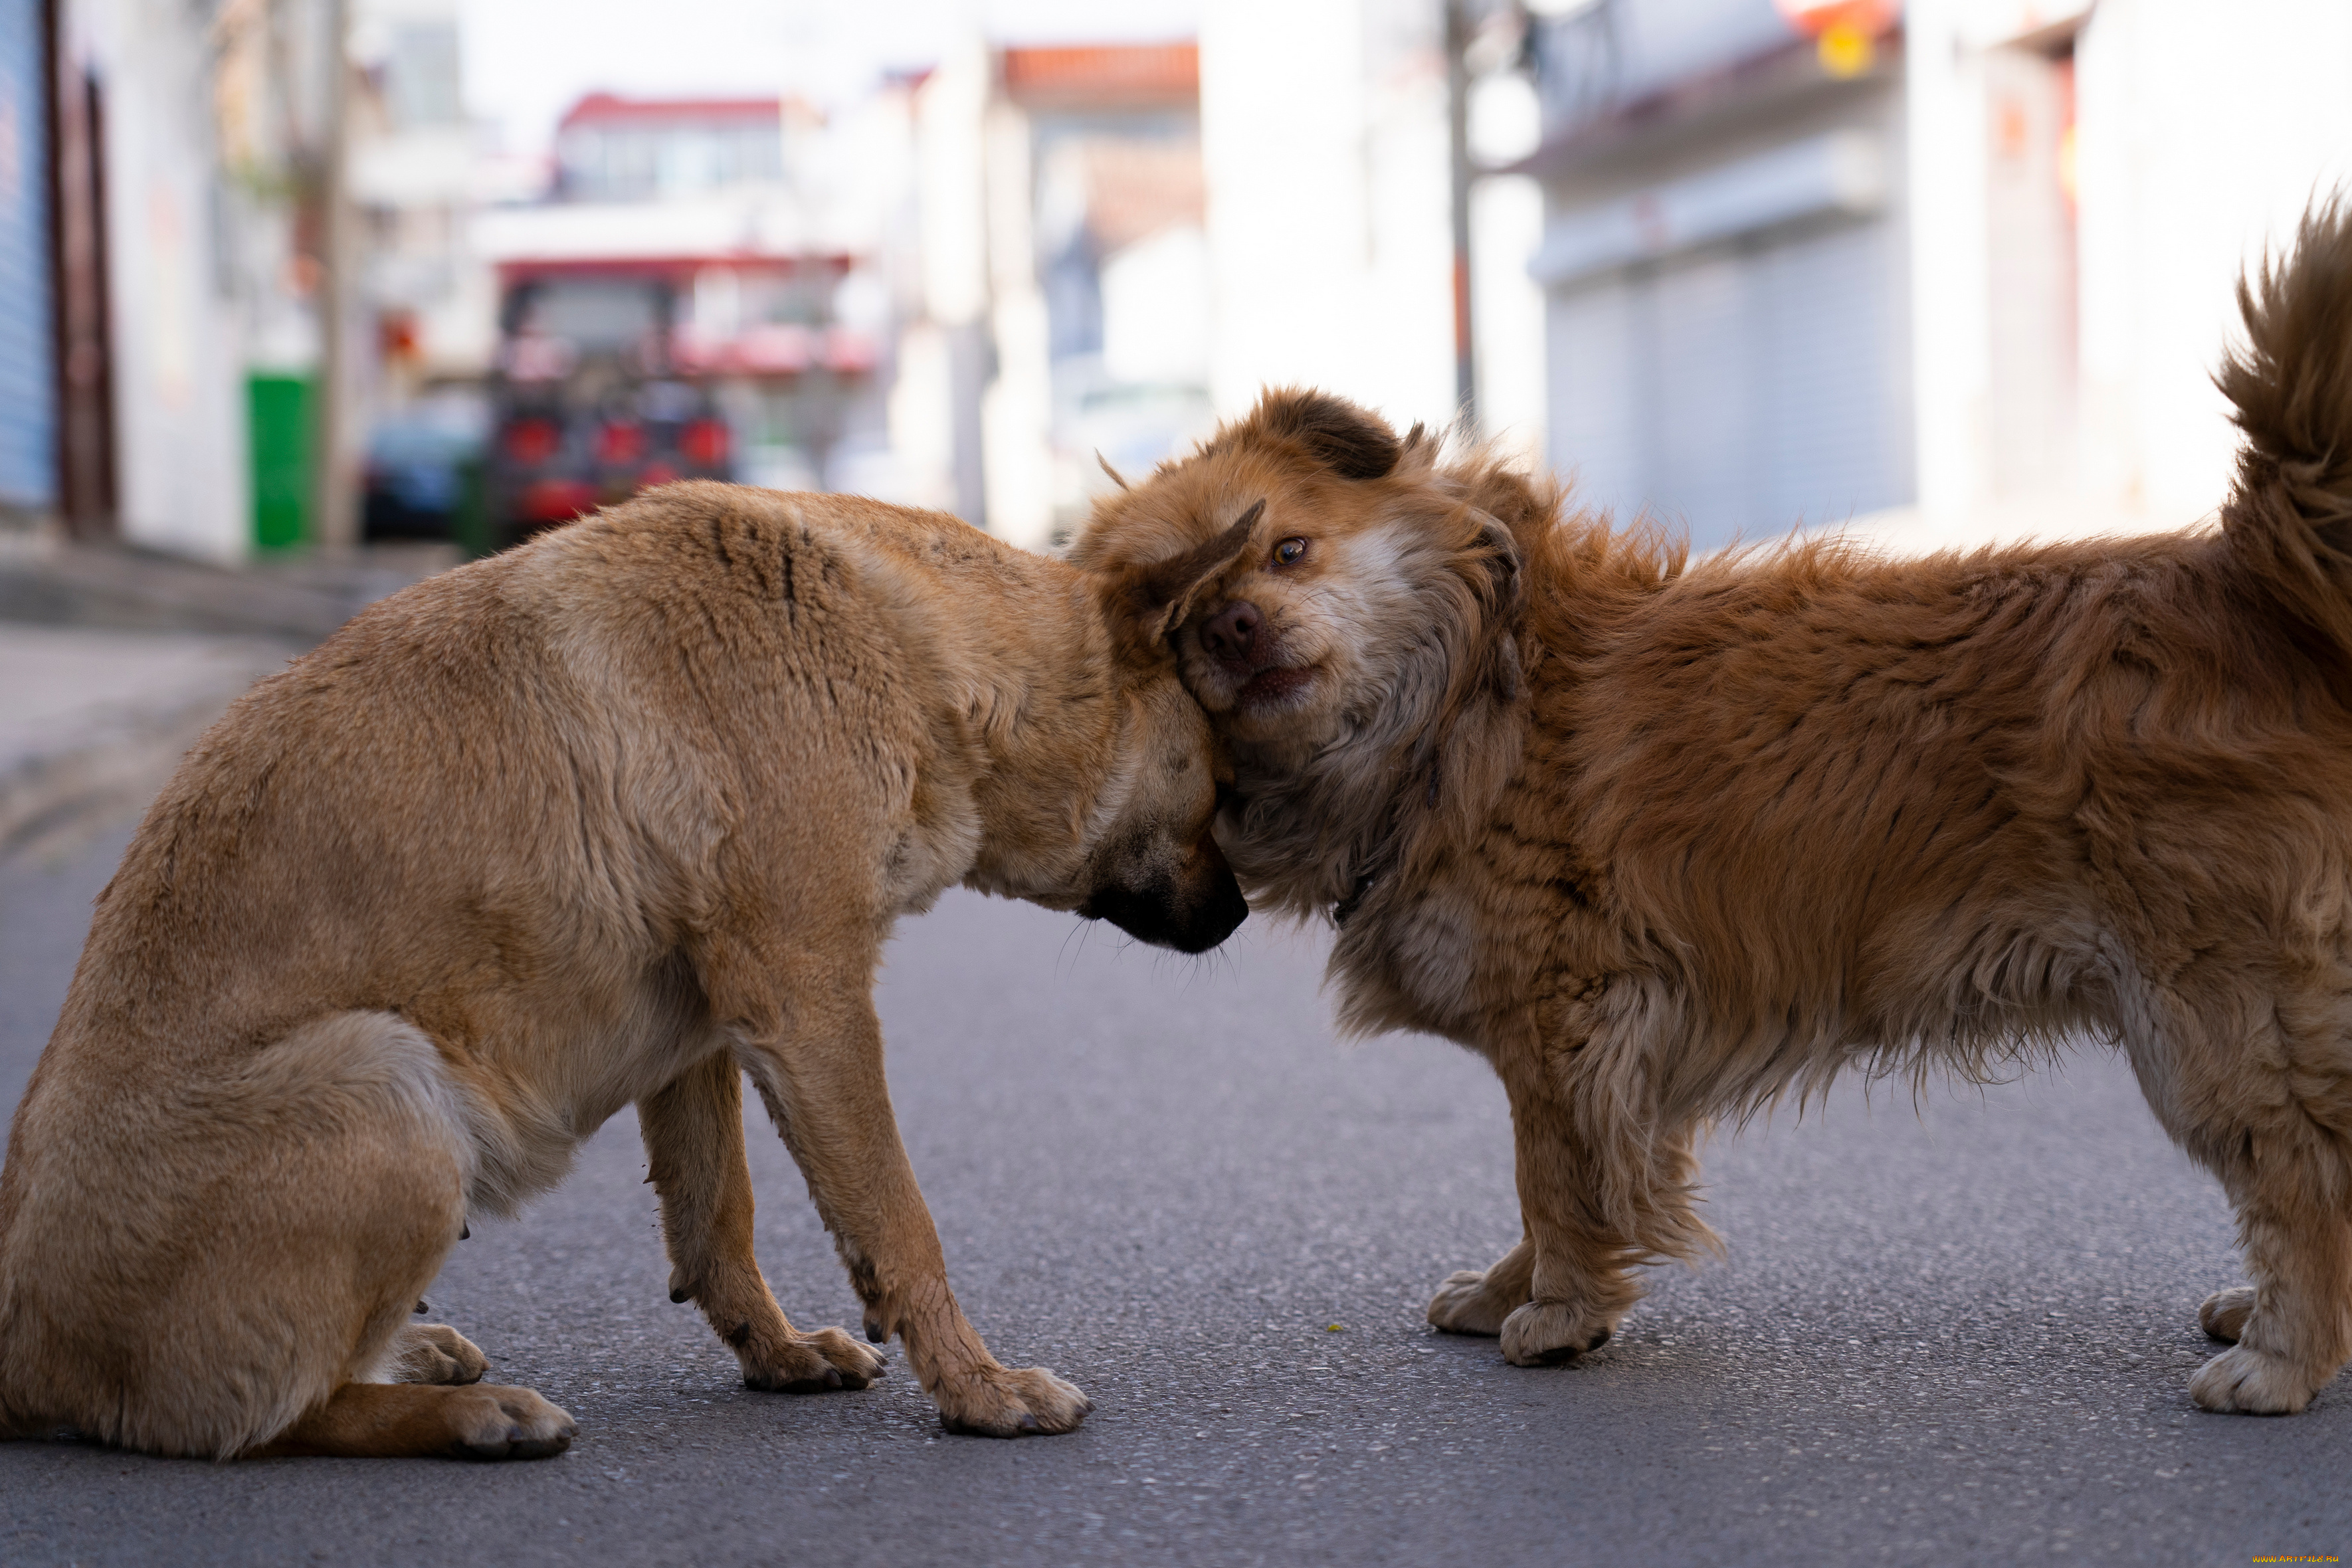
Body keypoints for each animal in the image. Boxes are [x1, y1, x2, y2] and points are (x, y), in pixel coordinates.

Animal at [0, 484, 1251, 1466]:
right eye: (1222, 780)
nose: (1242, 916)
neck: (912, 648)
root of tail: (22, 1351)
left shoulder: (703, 1039)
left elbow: (718, 1223)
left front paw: (779, 1356)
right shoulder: (814, 1007)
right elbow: (901, 1223)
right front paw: (981, 1392)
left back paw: (416, 1353)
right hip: (390, 1080)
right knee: (271, 1418)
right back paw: (477, 1418)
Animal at [1077, 202, 2352, 1420]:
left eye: (1289, 551)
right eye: (1179, 623)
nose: (1232, 625)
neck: (1463, 699)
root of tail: (2243, 586)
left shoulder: (1566, 1025)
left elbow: (1556, 1179)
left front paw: (1558, 1310)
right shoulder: (1584, 1041)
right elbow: (1559, 1185)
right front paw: (1508, 1290)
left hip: (2208, 1019)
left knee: (2300, 1170)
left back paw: (2282, 1360)